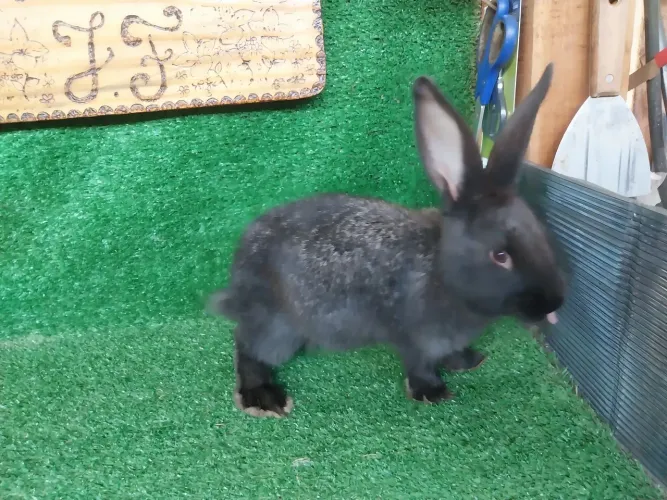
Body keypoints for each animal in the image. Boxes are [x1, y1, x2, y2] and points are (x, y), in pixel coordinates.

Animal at [208, 63, 564, 418]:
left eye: (540, 232)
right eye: (500, 255)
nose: (554, 303)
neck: (442, 272)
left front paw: (469, 360)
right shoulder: (415, 336)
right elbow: (420, 365)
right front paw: (433, 393)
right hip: (276, 325)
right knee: (248, 346)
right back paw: (264, 398)